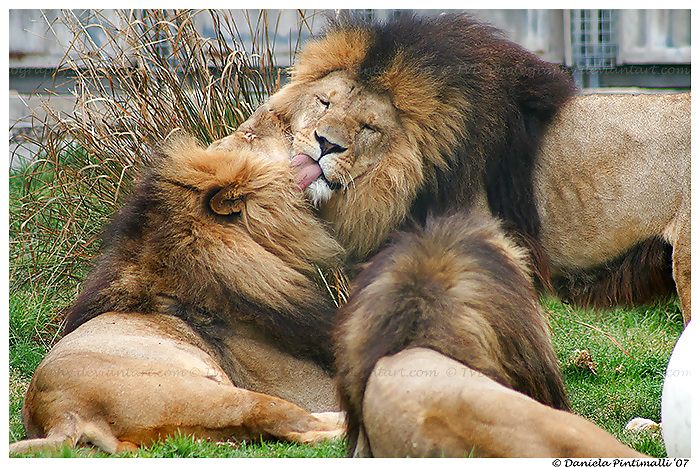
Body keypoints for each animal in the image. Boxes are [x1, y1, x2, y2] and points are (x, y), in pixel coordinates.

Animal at [10, 131, 346, 454]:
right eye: (249, 137)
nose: (317, 138)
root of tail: (61, 415)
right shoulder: (296, 382)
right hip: (212, 393)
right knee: (294, 423)